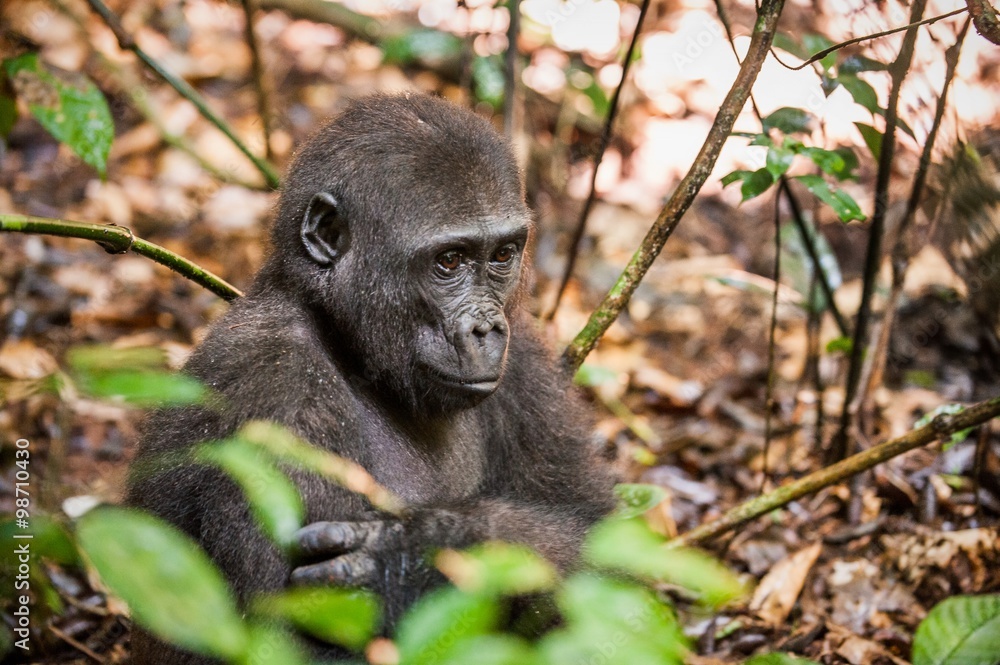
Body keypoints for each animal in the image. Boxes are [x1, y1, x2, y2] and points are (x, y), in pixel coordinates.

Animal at [127, 92, 617, 664]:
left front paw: (422, 551)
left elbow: (605, 540)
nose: (487, 328)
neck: (348, 348)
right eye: (449, 261)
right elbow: (271, 642)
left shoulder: (524, 356)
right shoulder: (275, 395)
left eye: (501, 256)